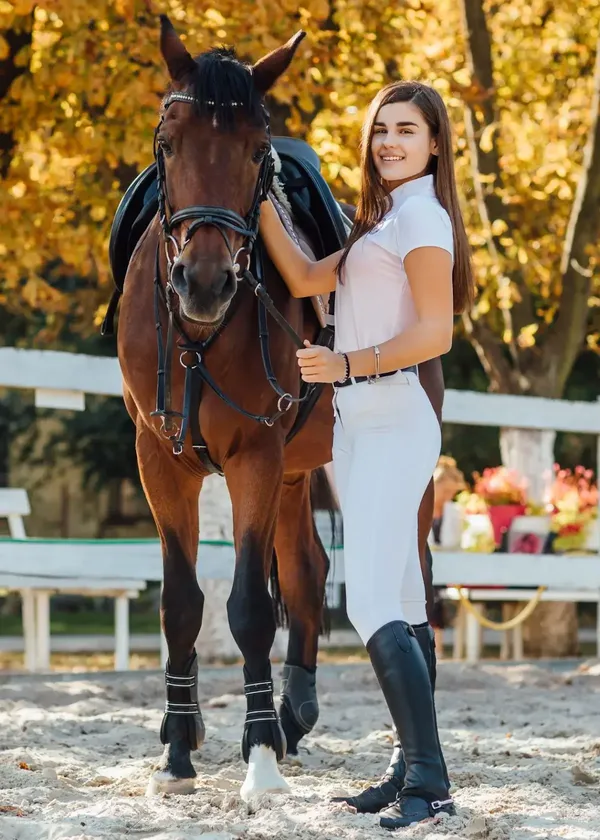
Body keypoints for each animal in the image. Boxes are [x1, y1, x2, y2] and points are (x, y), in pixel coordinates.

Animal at [116, 16, 338, 796]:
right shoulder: (160, 460)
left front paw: (261, 754)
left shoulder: (254, 455)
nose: (205, 283)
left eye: (255, 151)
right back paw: (291, 711)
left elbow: (248, 607)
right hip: (296, 474)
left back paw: (288, 719)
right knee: (306, 569)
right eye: (167, 142)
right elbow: (181, 603)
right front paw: (179, 746)